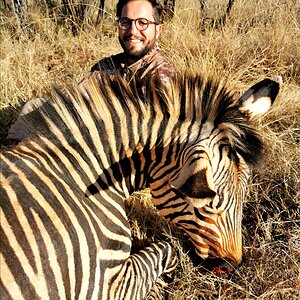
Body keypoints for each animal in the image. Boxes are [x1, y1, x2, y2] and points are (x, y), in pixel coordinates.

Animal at [0, 71, 282, 298]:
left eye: (244, 196)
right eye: (207, 205)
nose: (232, 266)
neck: (81, 178)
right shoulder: (105, 286)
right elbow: (168, 248)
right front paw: (157, 291)